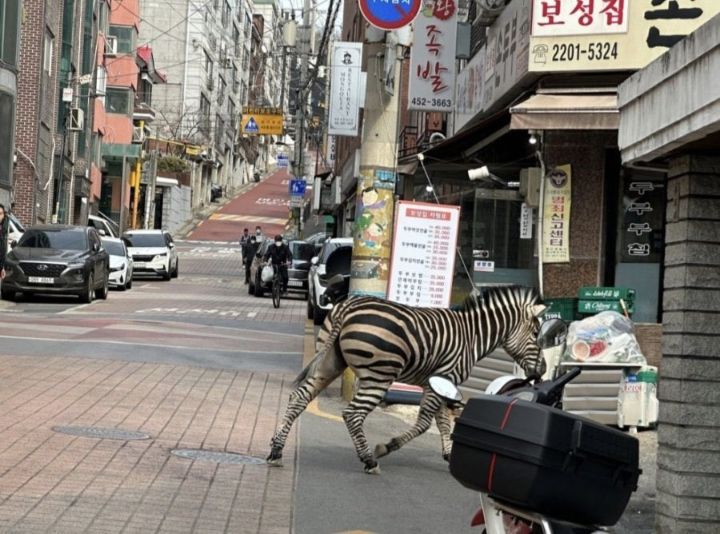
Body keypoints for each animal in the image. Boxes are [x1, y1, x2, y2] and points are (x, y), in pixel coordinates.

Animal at [268, 286, 544, 476]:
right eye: (537, 334)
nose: (541, 371)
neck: (472, 336)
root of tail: (347, 308)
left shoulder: (441, 382)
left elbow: (443, 423)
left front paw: (448, 454)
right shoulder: (442, 380)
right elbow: (425, 424)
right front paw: (386, 447)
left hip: (330, 362)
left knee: (299, 398)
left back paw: (276, 450)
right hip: (379, 375)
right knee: (352, 414)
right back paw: (369, 460)